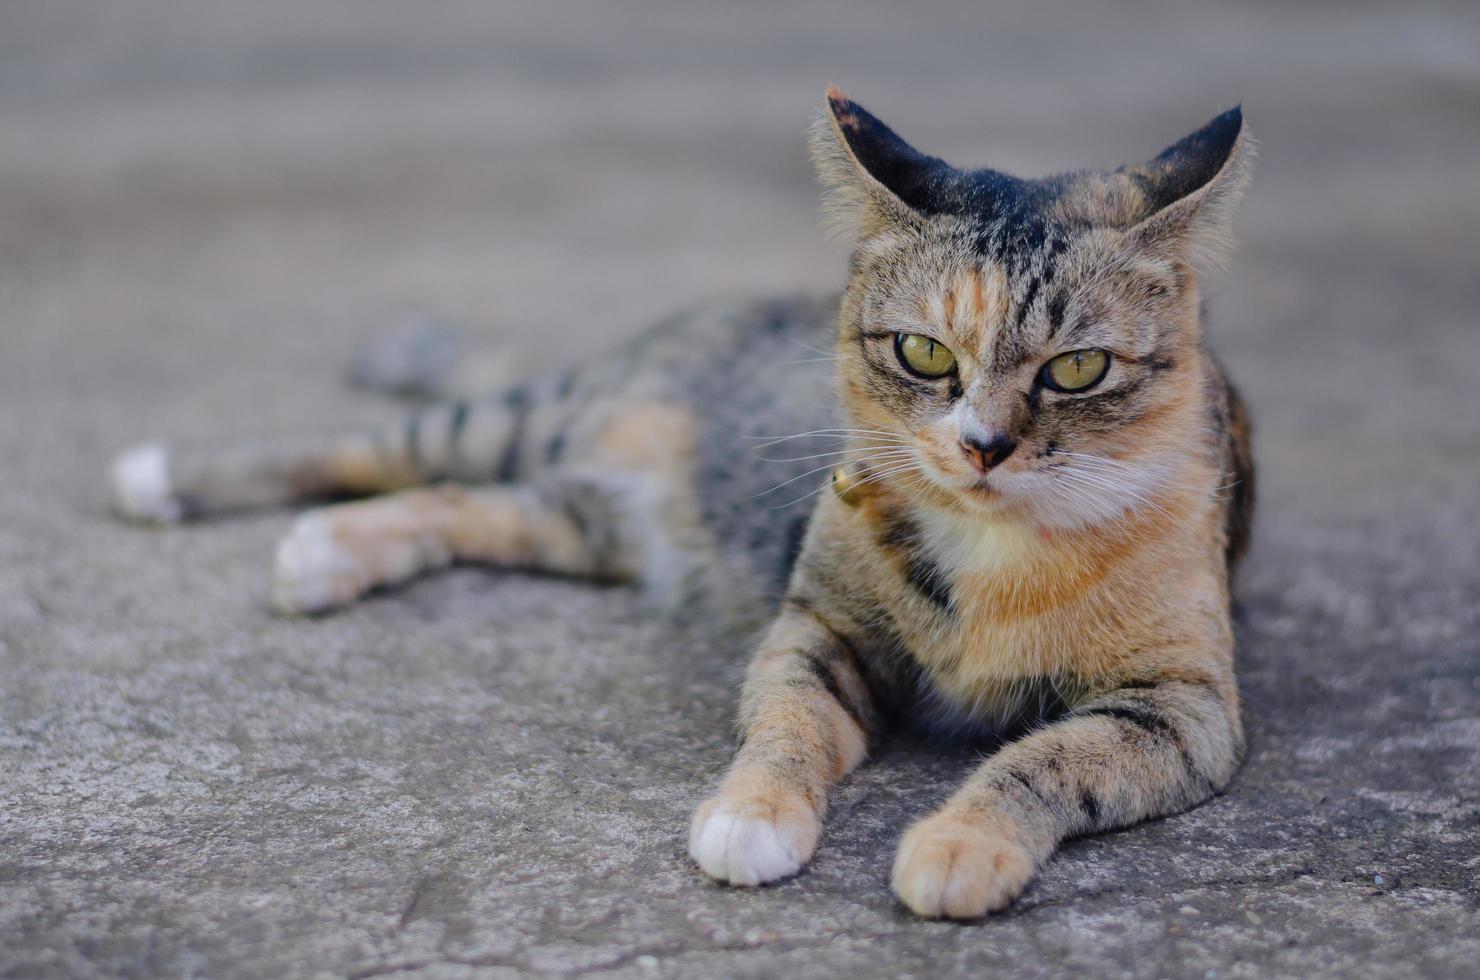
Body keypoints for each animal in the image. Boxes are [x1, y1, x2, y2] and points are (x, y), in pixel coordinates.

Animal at [109, 86, 1255, 923]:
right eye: (925, 352)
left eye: (1078, 368)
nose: (983, 445)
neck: (991, 542)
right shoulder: (814, 628)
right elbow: (786, 725)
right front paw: (749, 817)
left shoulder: (1184, 708)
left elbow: (1044, 761)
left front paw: (957, 843)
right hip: (532, 421)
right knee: (397, 446)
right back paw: (162, 477)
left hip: (581, 521)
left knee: (464, 501)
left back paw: (329, 555)